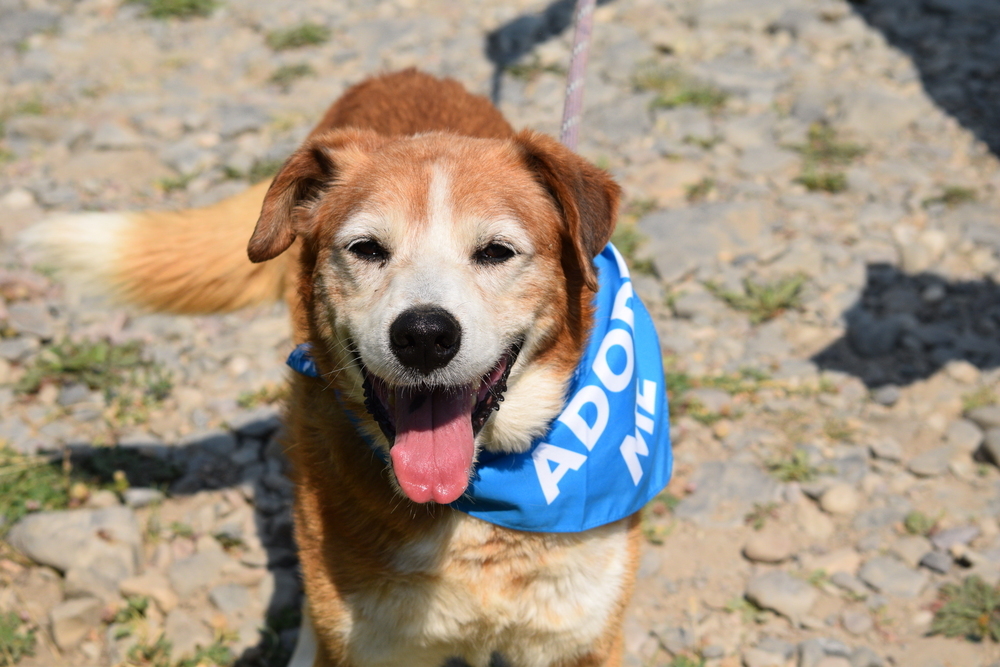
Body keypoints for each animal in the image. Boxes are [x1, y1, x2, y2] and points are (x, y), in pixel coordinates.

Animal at [27, 70, 672, 664]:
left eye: (495, 252)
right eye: (366, 249)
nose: (424, 336)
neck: (471, 506)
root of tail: (400, 73)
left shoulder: (576, 640)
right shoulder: (374, 643)